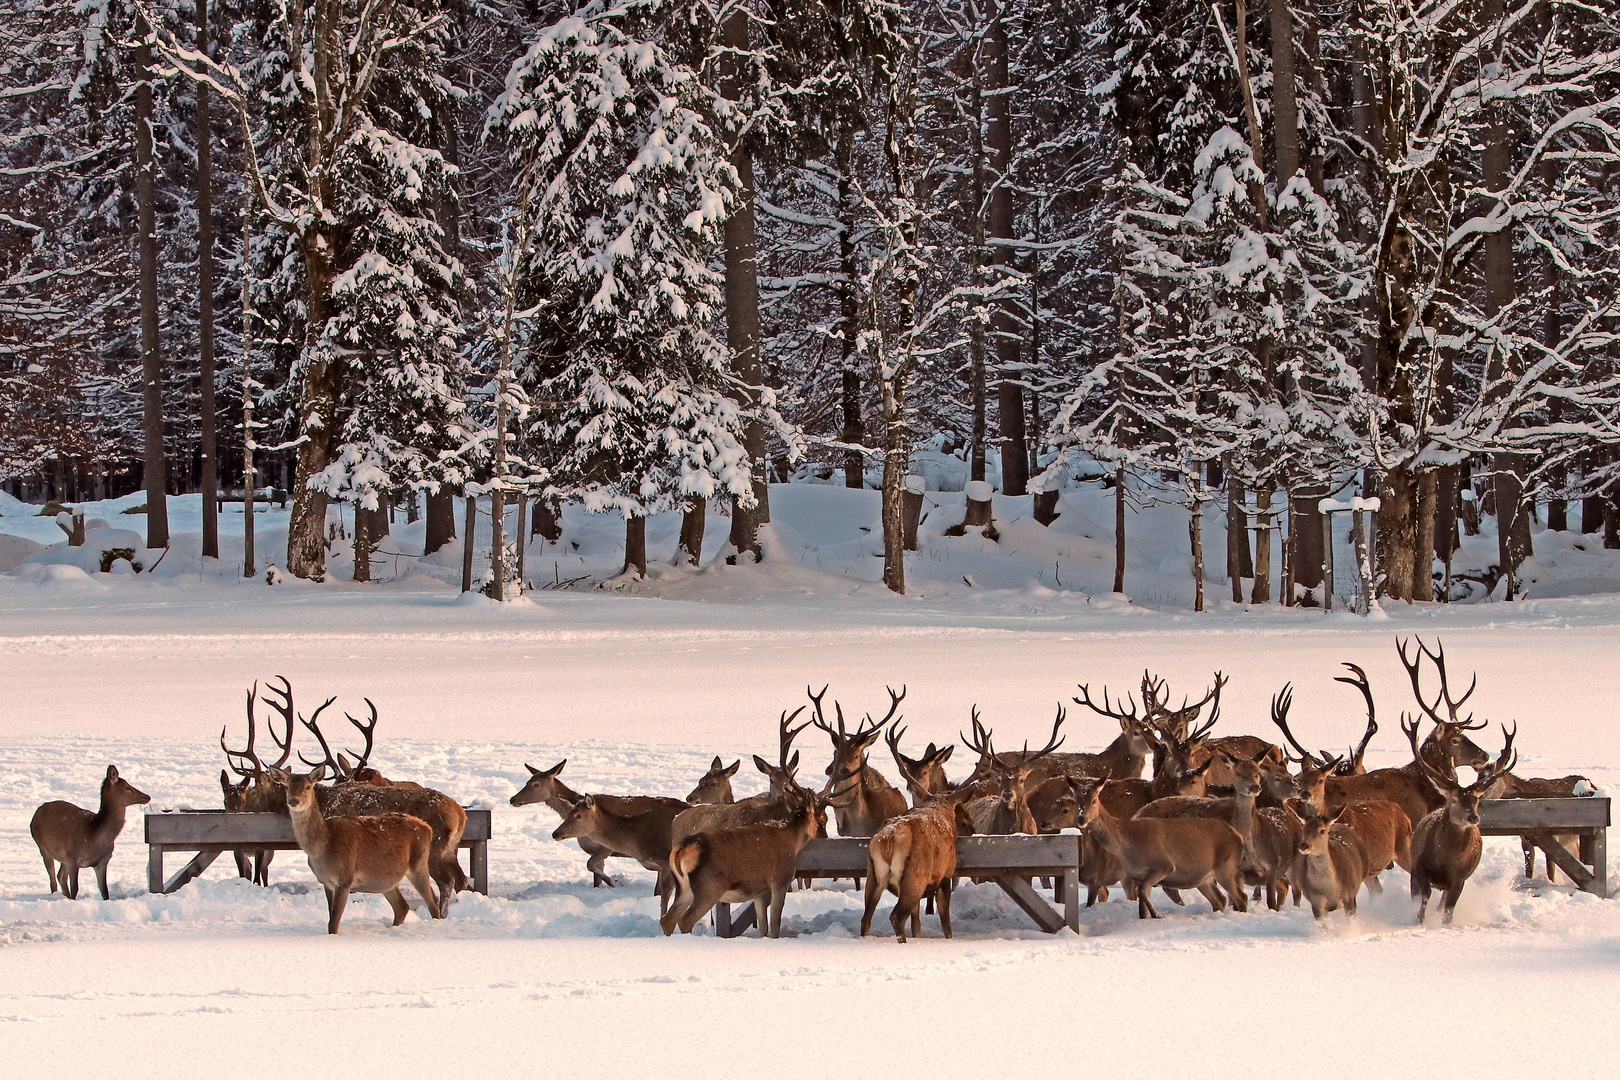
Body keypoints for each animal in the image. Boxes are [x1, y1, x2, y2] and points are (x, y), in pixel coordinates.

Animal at [29, 767, 151, 906]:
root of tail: (36, 813)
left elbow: (105, 891)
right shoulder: (73, 858)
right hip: (43, 847)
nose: (147, 796)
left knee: (60, 877)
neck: (95, 836)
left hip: (63, 857)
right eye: (127, 787)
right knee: (53, 880)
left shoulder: (102, 861)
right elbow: (75, 888)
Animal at [268, 764, 443, 932]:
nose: (293, 801)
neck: (323, 847)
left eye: (308, 786)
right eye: (286, 786)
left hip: (418, 863)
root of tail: (427, 828)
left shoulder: (345, 878)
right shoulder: (326, 882)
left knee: (433, 902)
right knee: (402, 906)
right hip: (387, 879)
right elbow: (330, 918)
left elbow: (334, 923)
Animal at [660, 777, 829, 939]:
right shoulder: (780, 879)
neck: (794, 839)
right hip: (708, 887)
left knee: (668, 918)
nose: (825, 838)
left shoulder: (759, 891)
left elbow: (762, 926)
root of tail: (681, 849)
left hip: (684, 886)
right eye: (822, 819)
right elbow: (775, 924)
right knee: (685, 920)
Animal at [1412, 722, 1509, 926]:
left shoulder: (1460, 878)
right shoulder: (1420, 867)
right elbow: (1424, 897)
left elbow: (1448, 909)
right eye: (1454, 800)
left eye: (1476, 800)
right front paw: (1418, 920)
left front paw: (1443, 925)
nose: (1473, 818)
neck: (1445, 859)